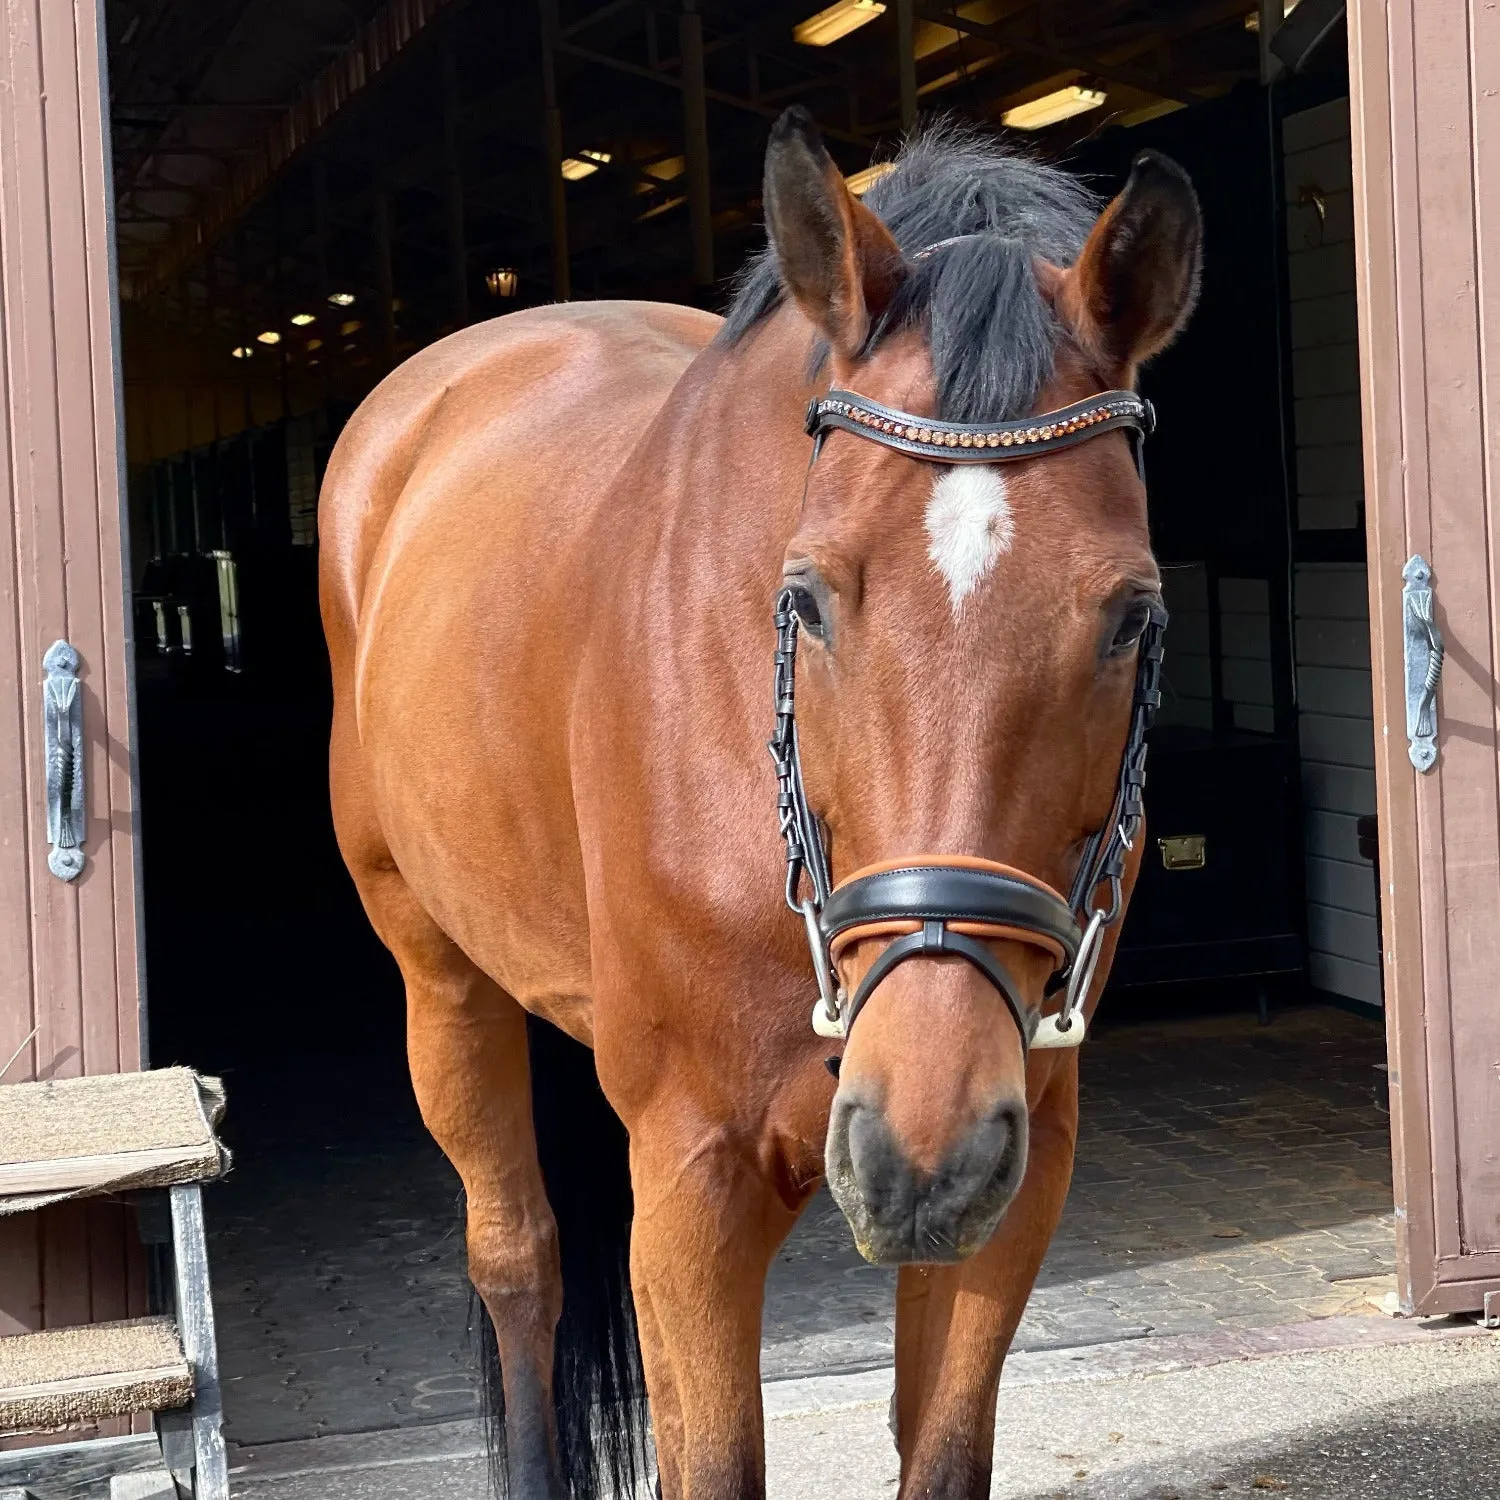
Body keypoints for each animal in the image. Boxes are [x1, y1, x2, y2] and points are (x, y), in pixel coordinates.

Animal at [322, 108, 1200, 1500]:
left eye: (1132, 614)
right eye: (806, 599)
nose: (920, 1147)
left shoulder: (1022, 1163)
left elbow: (941, 1452)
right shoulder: (696, 1177)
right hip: (440, 980)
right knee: (519, 1262)